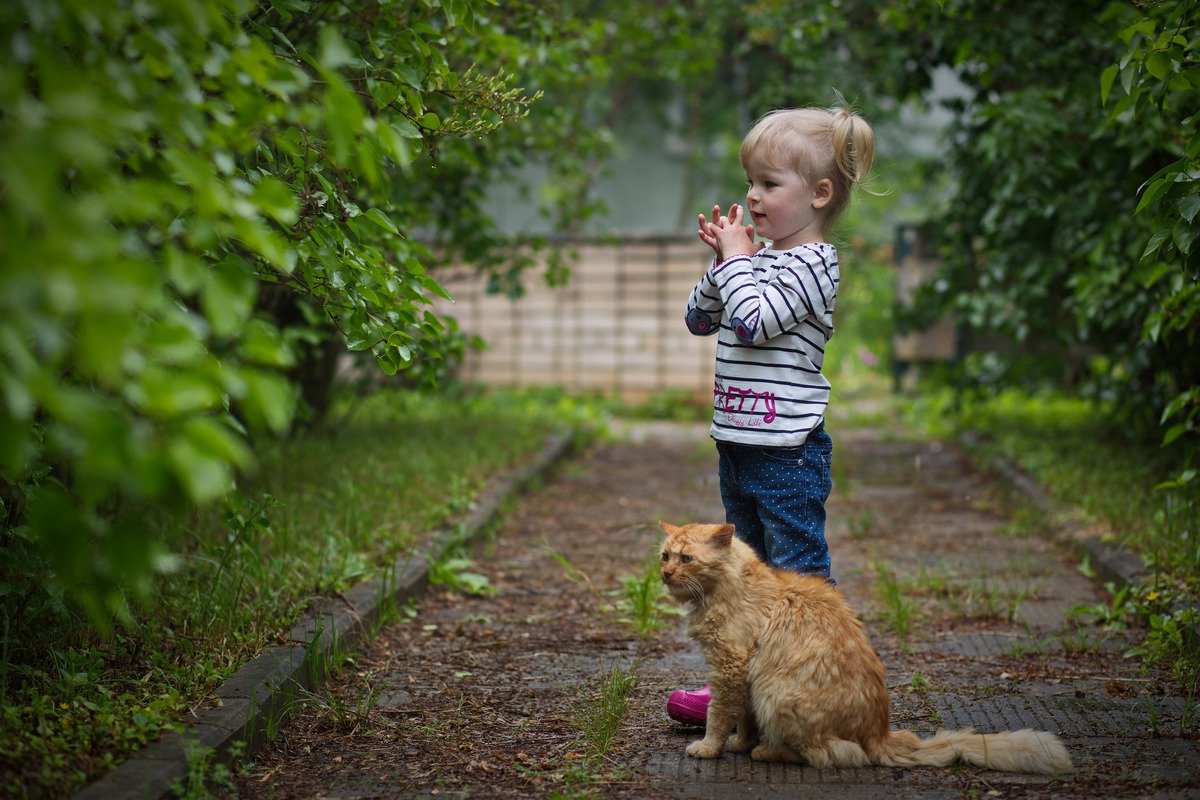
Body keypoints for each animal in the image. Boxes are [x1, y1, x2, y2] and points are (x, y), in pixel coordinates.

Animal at [662, 522, 1075, 772]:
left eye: (687, 559)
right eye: (665, 556)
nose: (664, 574)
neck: (733, 585)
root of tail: (881, 734)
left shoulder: (730, 666)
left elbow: (718, 714)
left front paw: (710, 747)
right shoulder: (742, 674)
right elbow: (743, 719)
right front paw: (739, 742)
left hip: (776, 695)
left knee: (831, 754)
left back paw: (768, 751)